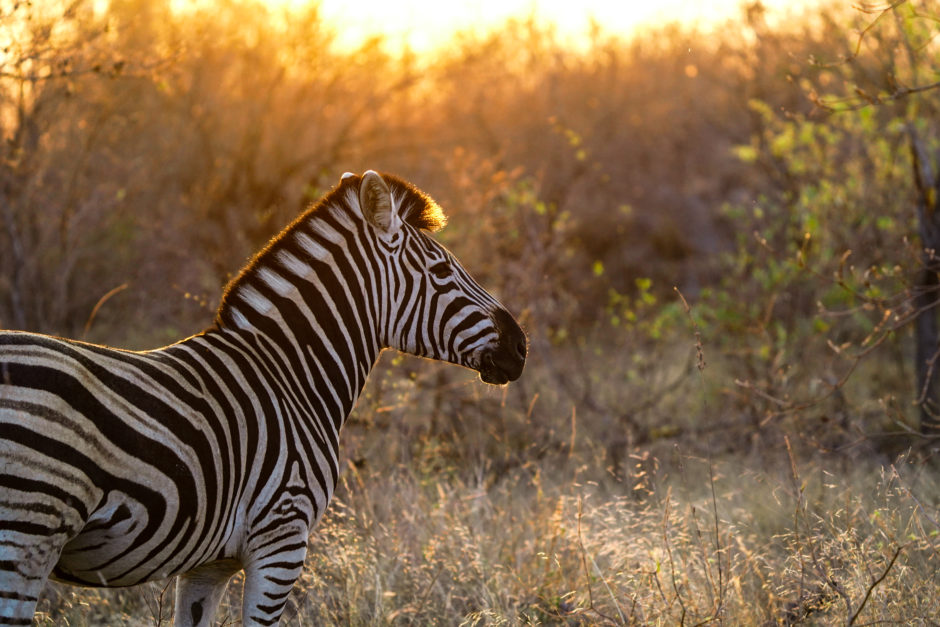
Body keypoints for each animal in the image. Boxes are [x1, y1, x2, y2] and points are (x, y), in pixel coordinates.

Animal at [0, 169, 528, 624]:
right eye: (441, 271)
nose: (521, 346)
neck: (291, 375)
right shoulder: (282, 538)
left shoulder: (208, 562)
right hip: (28, 531)